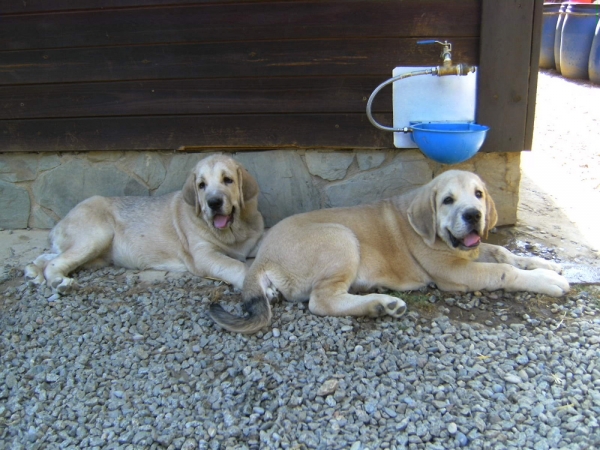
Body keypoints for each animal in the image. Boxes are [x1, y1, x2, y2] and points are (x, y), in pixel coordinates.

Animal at [25, 154, 264, 292]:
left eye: (228, 180)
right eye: (201, 185)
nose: (213, 202)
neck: (234, 231)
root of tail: (60, 223)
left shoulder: (255, 238)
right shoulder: (204, 254)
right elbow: (234, 265)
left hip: (94, 255)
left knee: (51, 256)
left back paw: (33, 271)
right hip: (96, 236)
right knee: (55, 262)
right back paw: (57, 281)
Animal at [211, 171, 572, 332]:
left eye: (479, 194)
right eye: (448, 201)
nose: (474, 215)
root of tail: (263, 257)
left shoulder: (469, 253)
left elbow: (504, 254)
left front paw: (544, 264)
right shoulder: (455, 272)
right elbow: (504, 270)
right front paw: (546, 280)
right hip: (342, 238)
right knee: (321, 301)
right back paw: (379, 305)